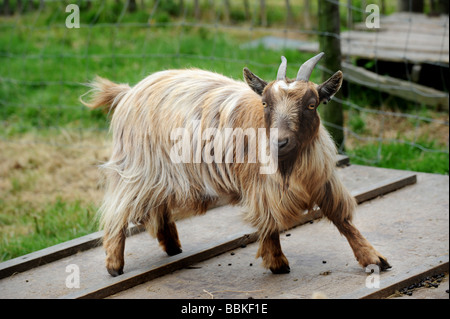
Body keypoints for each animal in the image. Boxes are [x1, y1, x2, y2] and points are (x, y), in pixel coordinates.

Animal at [81, 53, 390, 278]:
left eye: (312, 104)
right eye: (265, 103)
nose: (279, 141)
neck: (288, 165)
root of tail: (126, 92)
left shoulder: (321, 180)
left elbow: (341, 217)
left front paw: (374, 258)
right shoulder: (260, 186)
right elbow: (269, 221)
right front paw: (277, 263)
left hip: (163, 174)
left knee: (159, 206)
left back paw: (172, 246)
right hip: (137, 168)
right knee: (117, 210)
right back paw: (114, 265)